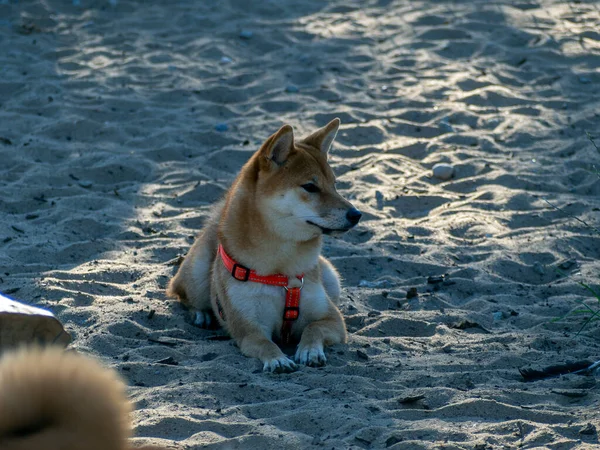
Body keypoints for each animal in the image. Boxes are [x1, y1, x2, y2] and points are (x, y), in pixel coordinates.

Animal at [166, 118, 360, 372]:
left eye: (335, 185)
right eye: (310, 187)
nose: (356, 214)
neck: (282, 269)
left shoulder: (332, 319)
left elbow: (312, 328)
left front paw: (309, 351)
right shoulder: (249, 328)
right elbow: (265, 344)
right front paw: (278, 359)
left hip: (332, 279)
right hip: (198, 275)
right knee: (182, 293)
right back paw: (202, 314)